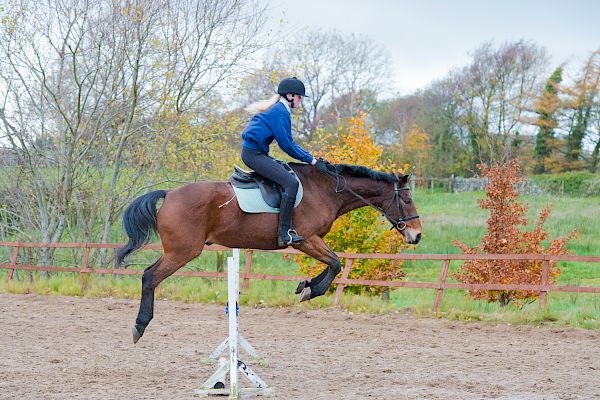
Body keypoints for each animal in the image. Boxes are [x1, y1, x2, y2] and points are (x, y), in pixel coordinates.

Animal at [115, 161, 420, 342]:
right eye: (406, 199)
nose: (417, 235)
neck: (325, 191)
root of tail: (170, 195)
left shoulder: (313, 241)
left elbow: (333, 264)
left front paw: (305, 285)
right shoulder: (305, 240)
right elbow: (334, 264)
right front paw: (310, 289)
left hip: (179, 251)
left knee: (150, 276)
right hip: (182, 252)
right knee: (149, 276)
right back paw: (139, 326)